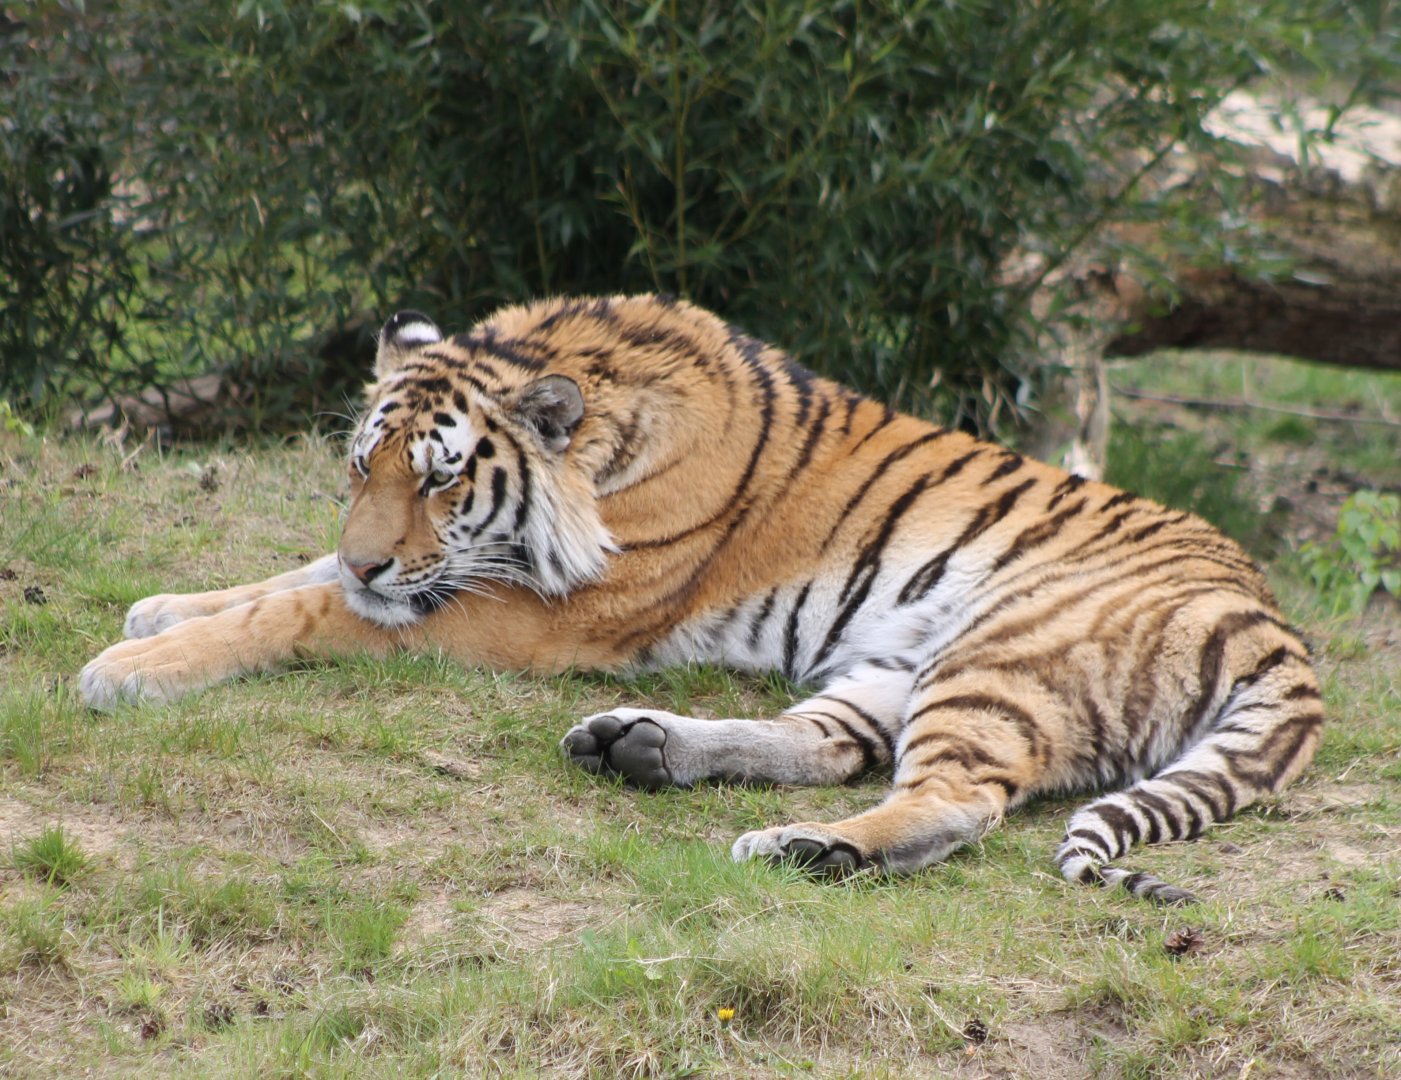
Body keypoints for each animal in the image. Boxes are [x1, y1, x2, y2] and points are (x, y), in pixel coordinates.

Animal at [79, 294, 1324, 903]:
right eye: (359, 466)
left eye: (438, 478)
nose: (378, 560)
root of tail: (1276, 625)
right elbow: (298, 575)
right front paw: (163, 607)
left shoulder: (534, 615)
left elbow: (309, 608)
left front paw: (126, 666)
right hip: (902, 657)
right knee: (830, 745)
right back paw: (642, 749)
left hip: (1000, 655)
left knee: (955, 801)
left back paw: (800, 850)